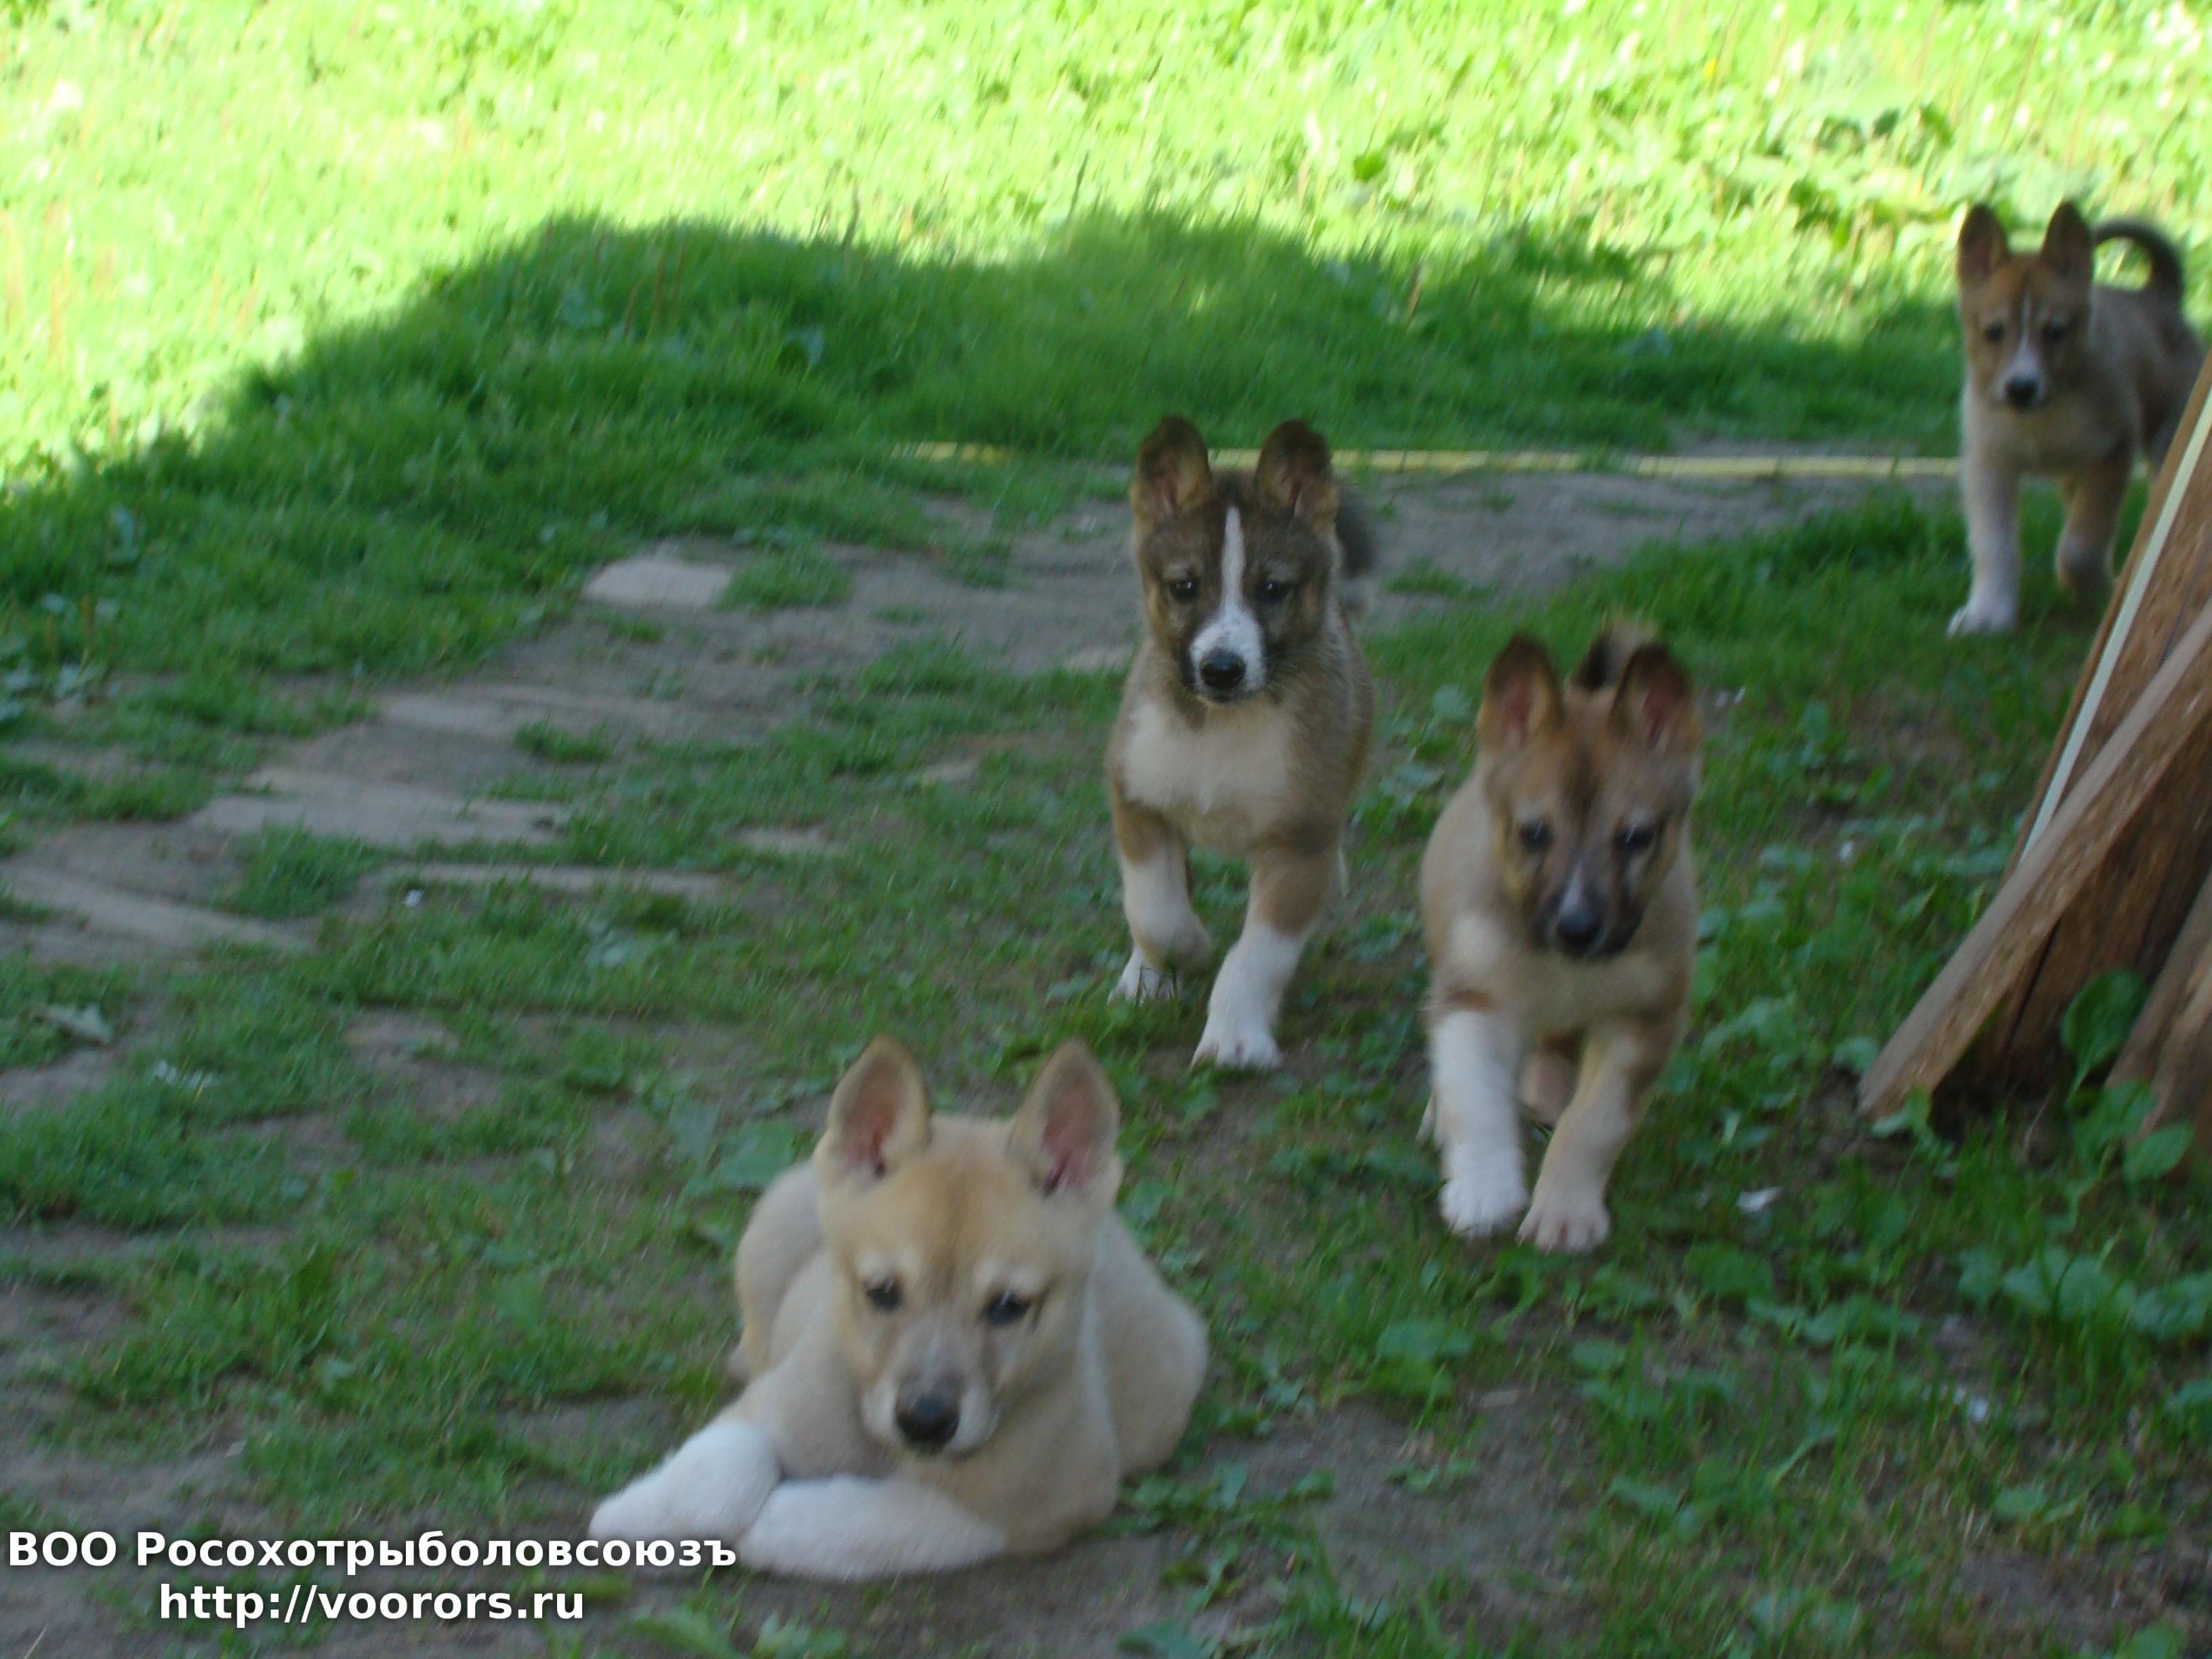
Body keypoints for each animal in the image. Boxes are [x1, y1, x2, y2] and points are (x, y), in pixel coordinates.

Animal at [589, 1037, 1206, 1578]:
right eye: (882, 1291)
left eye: (1010, 1305)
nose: (925, 1421)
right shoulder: (768, 1407)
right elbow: (710, 1481)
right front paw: (635, 1519)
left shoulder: (1043, 1501)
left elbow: (882, 1524)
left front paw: (780, 1520)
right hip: (769, 1235)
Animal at [1105, 416, 1375, 1069]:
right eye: (1184, 586)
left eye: (1273, 588)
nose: (1222, 669)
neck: (1220, 729)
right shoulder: (1136, 797)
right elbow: (1155, 912)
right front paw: (1174, 959)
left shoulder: (1299, 841)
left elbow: (1258, 956)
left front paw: (1233, 1038)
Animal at [1420, 625, 1699, 1252]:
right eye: (1533, 833)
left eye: (1636, 837)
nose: (1577, 929)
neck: (1563, 966)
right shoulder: (1472, 995)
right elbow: (1475, 1094)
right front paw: (1484, 1187)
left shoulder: (1647, 1017)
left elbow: (1597, 1121)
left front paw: (1566, 1212)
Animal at [1950, 201, 2205, 635]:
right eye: (1994, 332)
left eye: (2055, 331)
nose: (2021, 388)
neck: (2044, 416)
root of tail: (2159, 296)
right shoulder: (1989, 464)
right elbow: (1994, 547)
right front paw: (1987, 615)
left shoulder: (2113, 454)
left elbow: (2081, 543)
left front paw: (2094, 588)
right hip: (2073, 473)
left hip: (2165, 440)